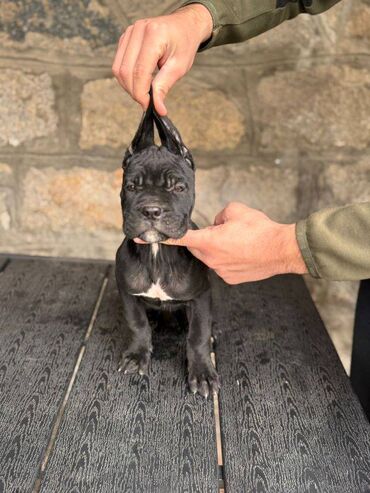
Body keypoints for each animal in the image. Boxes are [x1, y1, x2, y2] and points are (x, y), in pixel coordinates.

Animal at [115, 95, 220, 396]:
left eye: (178, 188)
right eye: (131, 187)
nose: (151, 210)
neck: (157, 251)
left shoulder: (200, 297)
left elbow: (197, 335)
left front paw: (202, 372)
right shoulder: (128, 294)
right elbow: (137, 325)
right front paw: (137, 355)